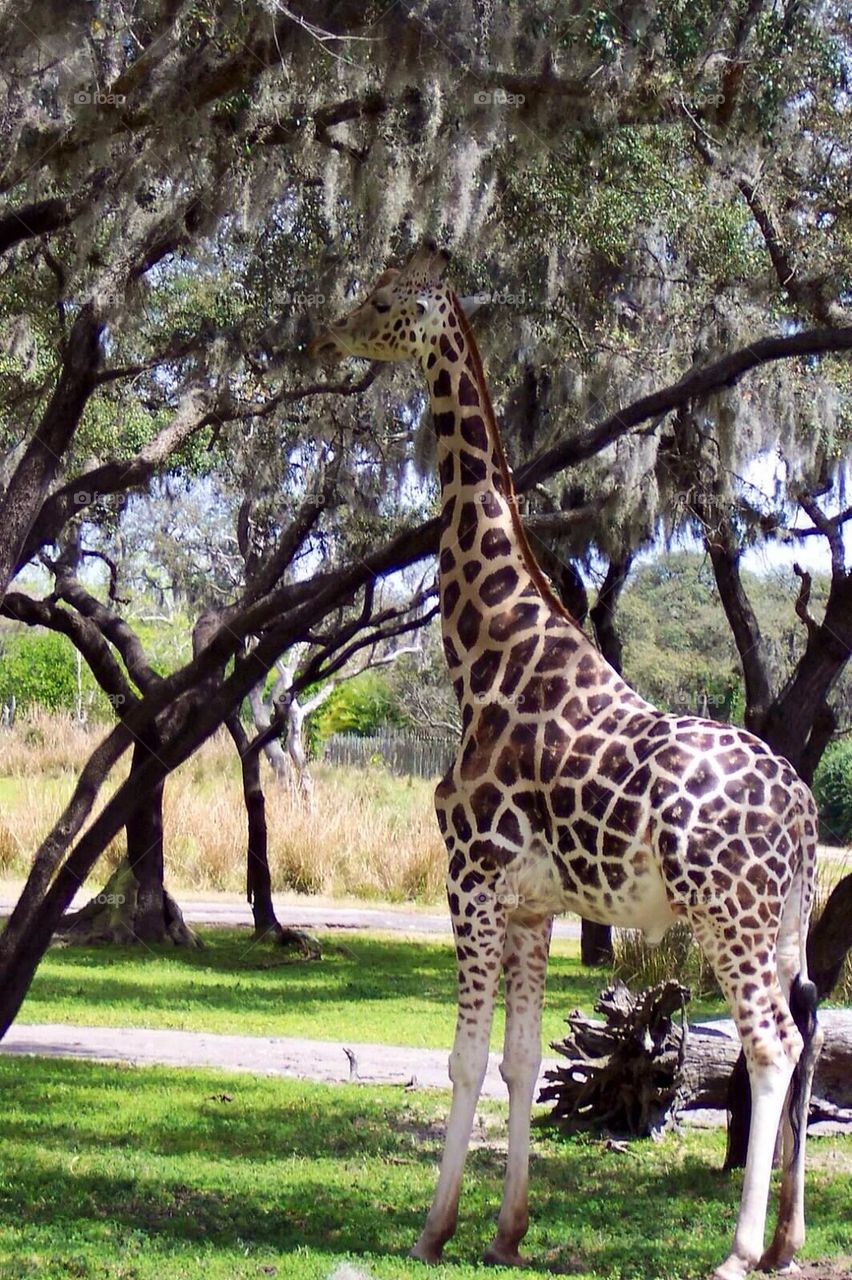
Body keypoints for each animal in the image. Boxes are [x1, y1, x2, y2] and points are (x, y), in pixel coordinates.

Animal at [308, 241, 823, 1280]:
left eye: (382, 299)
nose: (325, 333)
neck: (487, 659)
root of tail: (802, 810)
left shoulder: (470, 877)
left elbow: (464, 1058)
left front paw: (432, 1230)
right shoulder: (534, 904)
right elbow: (522, 1059)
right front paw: (506, 1230)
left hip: (728, 915)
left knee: (772, 1045)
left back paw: (739, 1249)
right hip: (784, 920)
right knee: (806, 1030)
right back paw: (788, 1240)